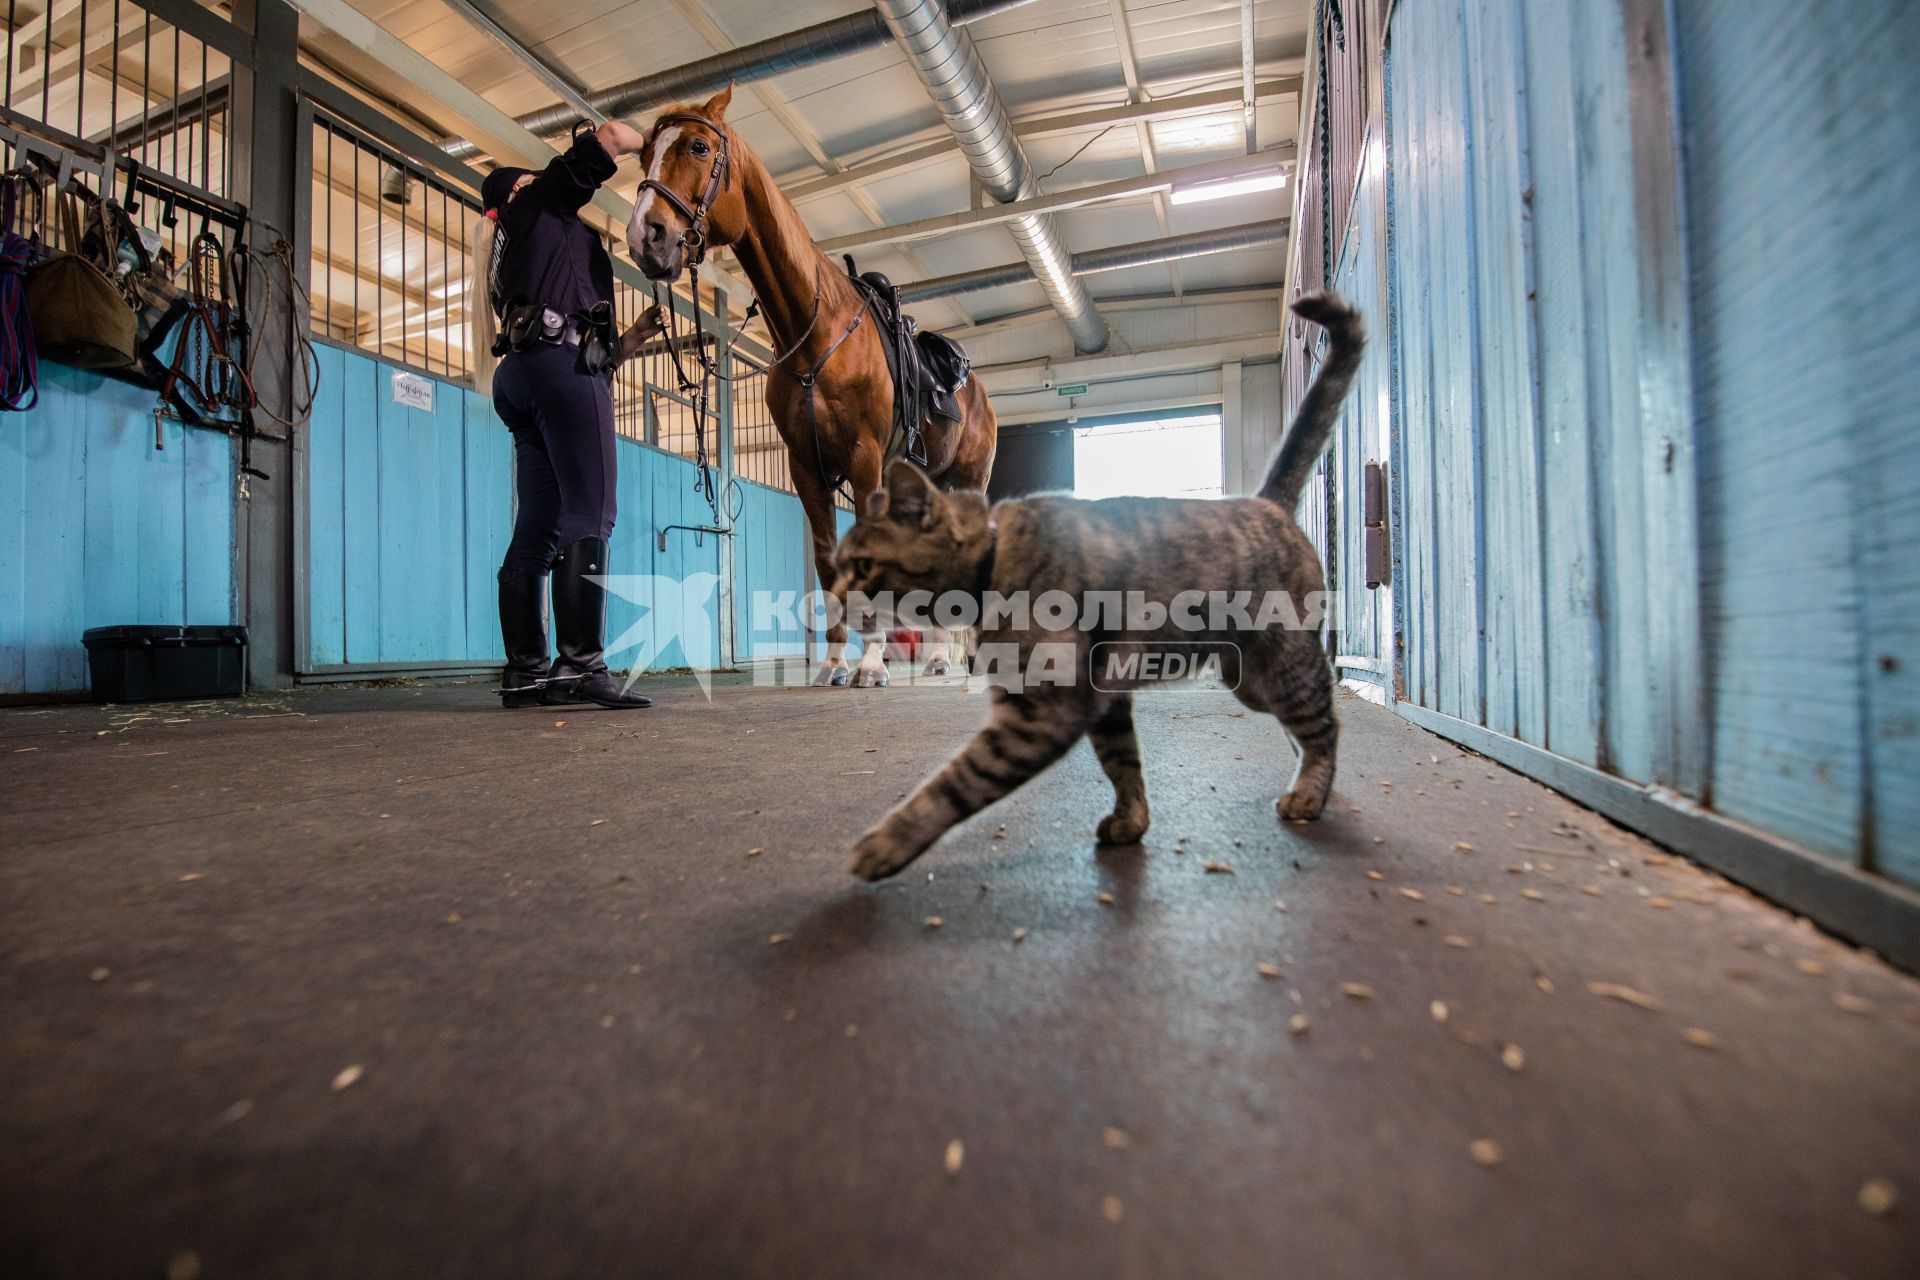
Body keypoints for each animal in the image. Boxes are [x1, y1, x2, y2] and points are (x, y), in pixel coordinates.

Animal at [625, 87, 998, 690]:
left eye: (699, 146)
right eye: (643, 155)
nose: (644, 236)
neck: (816, 332)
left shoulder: (866, 461)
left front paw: (870, 665)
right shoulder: (806, 467)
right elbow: (826, 562)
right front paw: (834, 663)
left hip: (966, 482)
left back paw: (954, 662)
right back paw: (940, 657)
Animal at [837, 295, 1367, 886]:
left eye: (861, 566)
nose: (832, 596)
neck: (997, 555)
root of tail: (1266, 503)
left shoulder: (1044, 710)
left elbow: (954, 784)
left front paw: (887, 842)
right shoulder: (1105, 701)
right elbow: (1123, 764)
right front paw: (1131, 820)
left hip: (1283, 664)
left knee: (1325, 723)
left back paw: (1311, 790)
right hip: (1250, 679)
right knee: (1305, 722)